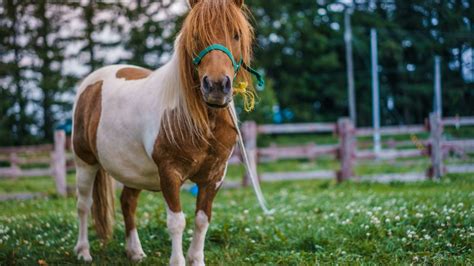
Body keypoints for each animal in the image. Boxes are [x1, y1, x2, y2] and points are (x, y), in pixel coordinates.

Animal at [70, 0, 256, 264]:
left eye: (236, 34)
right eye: (196, 35)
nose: (217, 86)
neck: (202, 121)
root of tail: (90, 84)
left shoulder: (214, 176)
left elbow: (202, 220)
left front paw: (196, 259)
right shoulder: (170, 173)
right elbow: (177, 222)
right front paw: (178, 260)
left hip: (133, 170)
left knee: (127, 202)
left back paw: (135, 252)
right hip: (85, 161)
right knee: (84, 204)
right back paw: (83, 251)